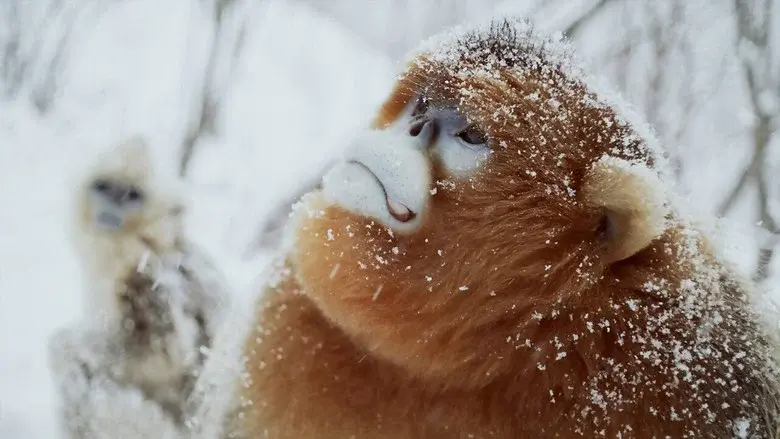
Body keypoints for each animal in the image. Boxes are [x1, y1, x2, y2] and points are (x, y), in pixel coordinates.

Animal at [47, 136, 231, 438]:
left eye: (132, 195)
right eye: (104, 187)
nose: (110, 207)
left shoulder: (151, 277)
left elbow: (166, 353)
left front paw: (65, 343)